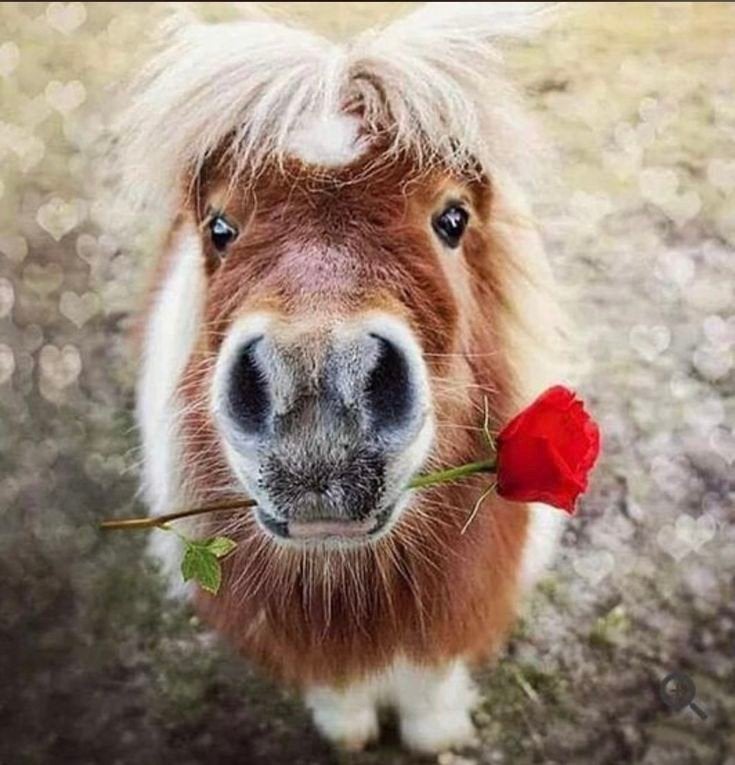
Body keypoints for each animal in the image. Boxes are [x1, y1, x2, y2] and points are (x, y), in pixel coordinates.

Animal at [125, 3, 567, 754]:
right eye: (219, 227)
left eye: (452, 218)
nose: (314, 391)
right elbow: (338, 685)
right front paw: (349, 729)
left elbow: (429, 682)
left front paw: (434, 732)